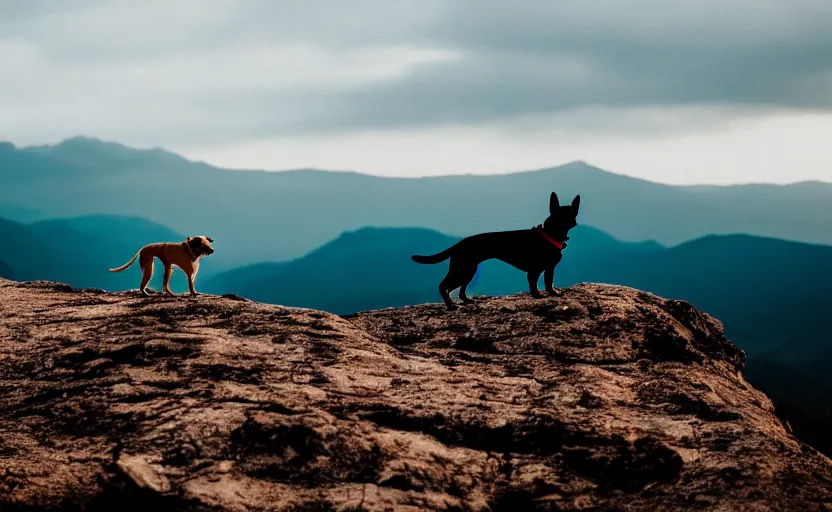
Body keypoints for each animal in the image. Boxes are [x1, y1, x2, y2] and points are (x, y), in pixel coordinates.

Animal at [410, 192, 580, 310]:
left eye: (572, 212)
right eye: (560, 215)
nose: (570, 221)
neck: (550, 234)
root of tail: (461, 243)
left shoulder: (549, 268)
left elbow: (549, 282)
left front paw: (553, 293)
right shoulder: (534, 270)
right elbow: (534, 285)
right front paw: (538, 296)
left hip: (469, 271)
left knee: (460, 290)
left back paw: (466, 300)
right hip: (462, 270)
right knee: (443, 286)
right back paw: (451, 305)